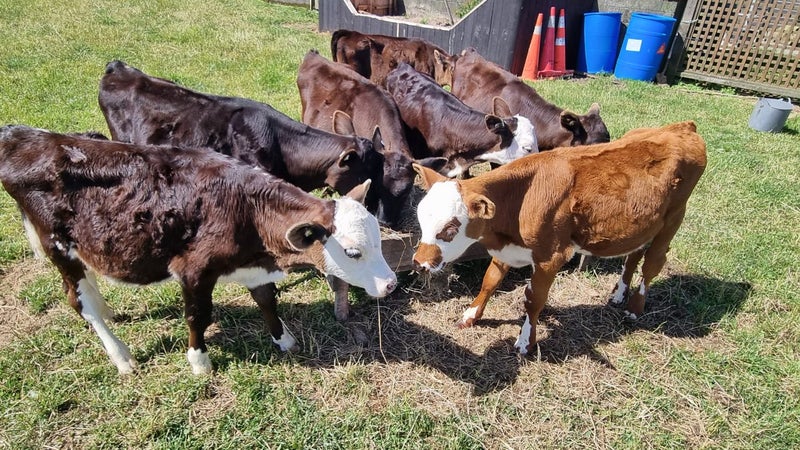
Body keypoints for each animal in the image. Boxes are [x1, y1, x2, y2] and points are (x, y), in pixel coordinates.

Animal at [0, 125, 397, 374]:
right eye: (352, 252)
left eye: (379, 241)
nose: (391, 284)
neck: (245, 208)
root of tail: (23, 136)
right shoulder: (193, 270)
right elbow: (197, 316)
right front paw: (199, 362)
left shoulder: (254, 266)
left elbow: (267, 300)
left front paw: (283, 338)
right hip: (58, 245)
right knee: (78, 301)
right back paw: (122, 357)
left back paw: (108, 309)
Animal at [411, 121, 706, 355]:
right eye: (421, 219)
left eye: (450, 228)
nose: (419, 263)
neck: (521, 197)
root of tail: (682, 127)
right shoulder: (507, 247)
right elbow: (489, 281)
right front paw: (471, 316)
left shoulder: (550, 257)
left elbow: (533, 299)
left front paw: (525, 342)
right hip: (645, 223)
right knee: (634, 254)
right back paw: (619, 294)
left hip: (673, 218)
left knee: (652, 263)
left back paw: (635, 307)